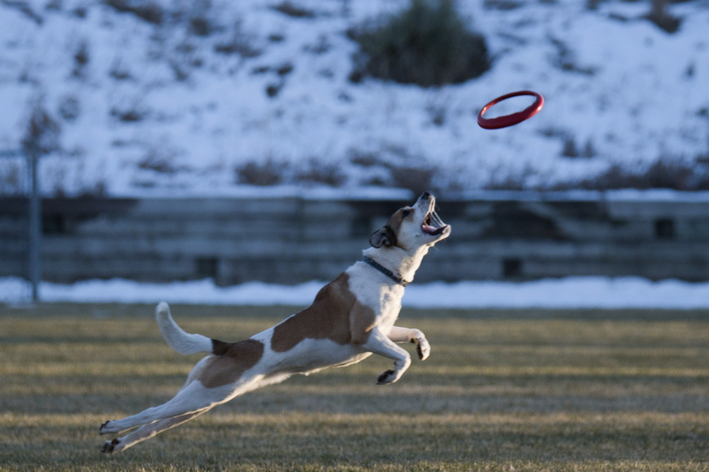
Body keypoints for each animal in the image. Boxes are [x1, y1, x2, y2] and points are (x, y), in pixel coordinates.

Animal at [99, 192, 450, 454]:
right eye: (406, 211)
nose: (427, 192)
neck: (383, 270)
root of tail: (230, 347)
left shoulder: (384, 331)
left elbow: (414, 333)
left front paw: (423, 349)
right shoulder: (365, 336)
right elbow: (401, 357)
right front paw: (389, 375)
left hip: (203, 401)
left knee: (152, 425)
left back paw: (117, 444)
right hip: (203, 397)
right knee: (151, 412)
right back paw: (111, 426)